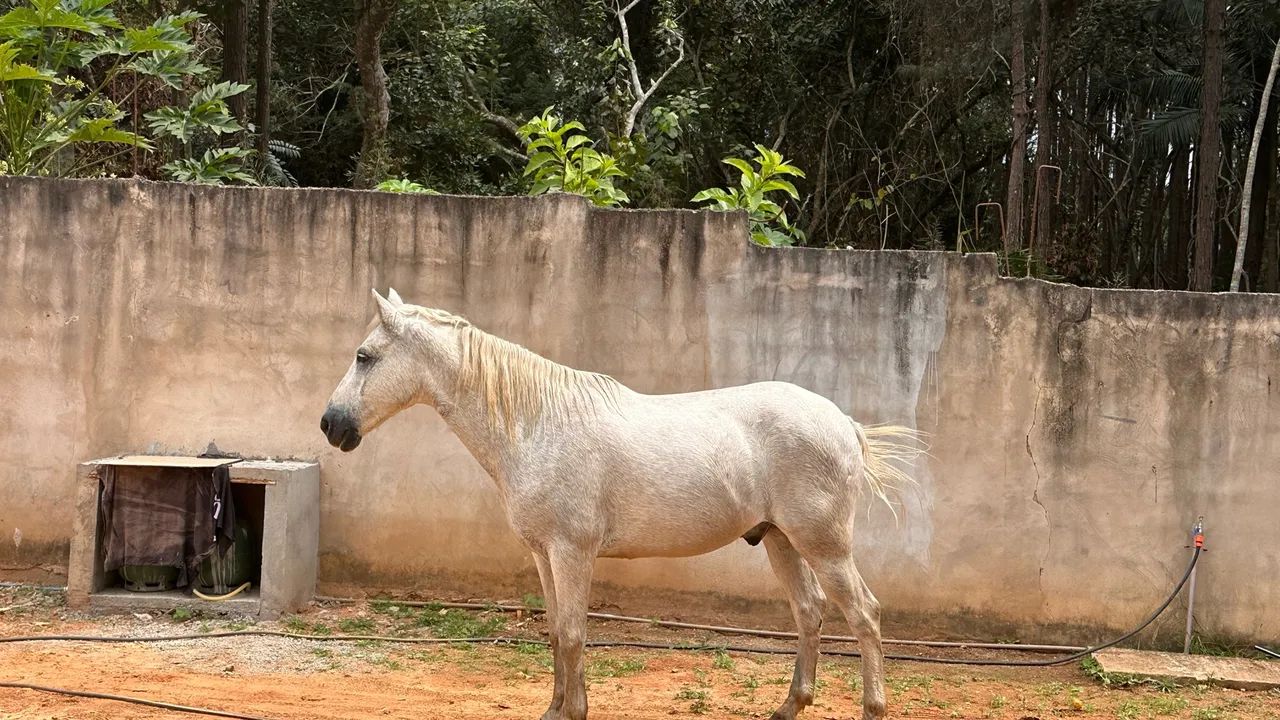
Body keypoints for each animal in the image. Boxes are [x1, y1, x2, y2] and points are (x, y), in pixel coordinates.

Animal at [321, 288, 922, 720]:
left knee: (863, 615)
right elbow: (555, 631)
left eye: (364, 356)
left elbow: (573, 634)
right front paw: (554, 710)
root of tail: (842, 422)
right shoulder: (544, 556)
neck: (537, 425)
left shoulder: (572, 553)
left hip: (824, 547)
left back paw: (872, 709)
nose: (331, 424)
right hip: (780, 542)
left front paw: (574, 712)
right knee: (809, 612)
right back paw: (788, 707)